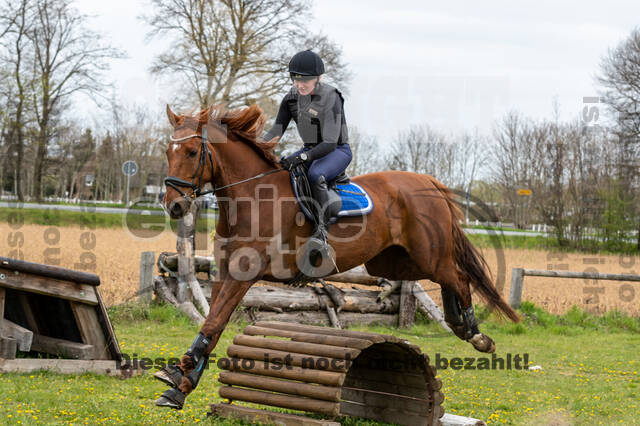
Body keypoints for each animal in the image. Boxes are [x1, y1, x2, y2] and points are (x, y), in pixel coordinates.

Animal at [155, 103, 520, 410]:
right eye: (167, 152)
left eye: (192, 151)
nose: (174, 205)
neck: (252, 199)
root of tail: (427, 181)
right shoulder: (225, 274)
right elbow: (212, 325)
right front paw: (180, 385)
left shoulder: (243, 274)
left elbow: (214, 322)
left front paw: (179, 374)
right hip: (394, 261)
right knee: (447, 278)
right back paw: (459, 324)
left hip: (427, 254)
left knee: (458, 276)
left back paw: (476, 335)